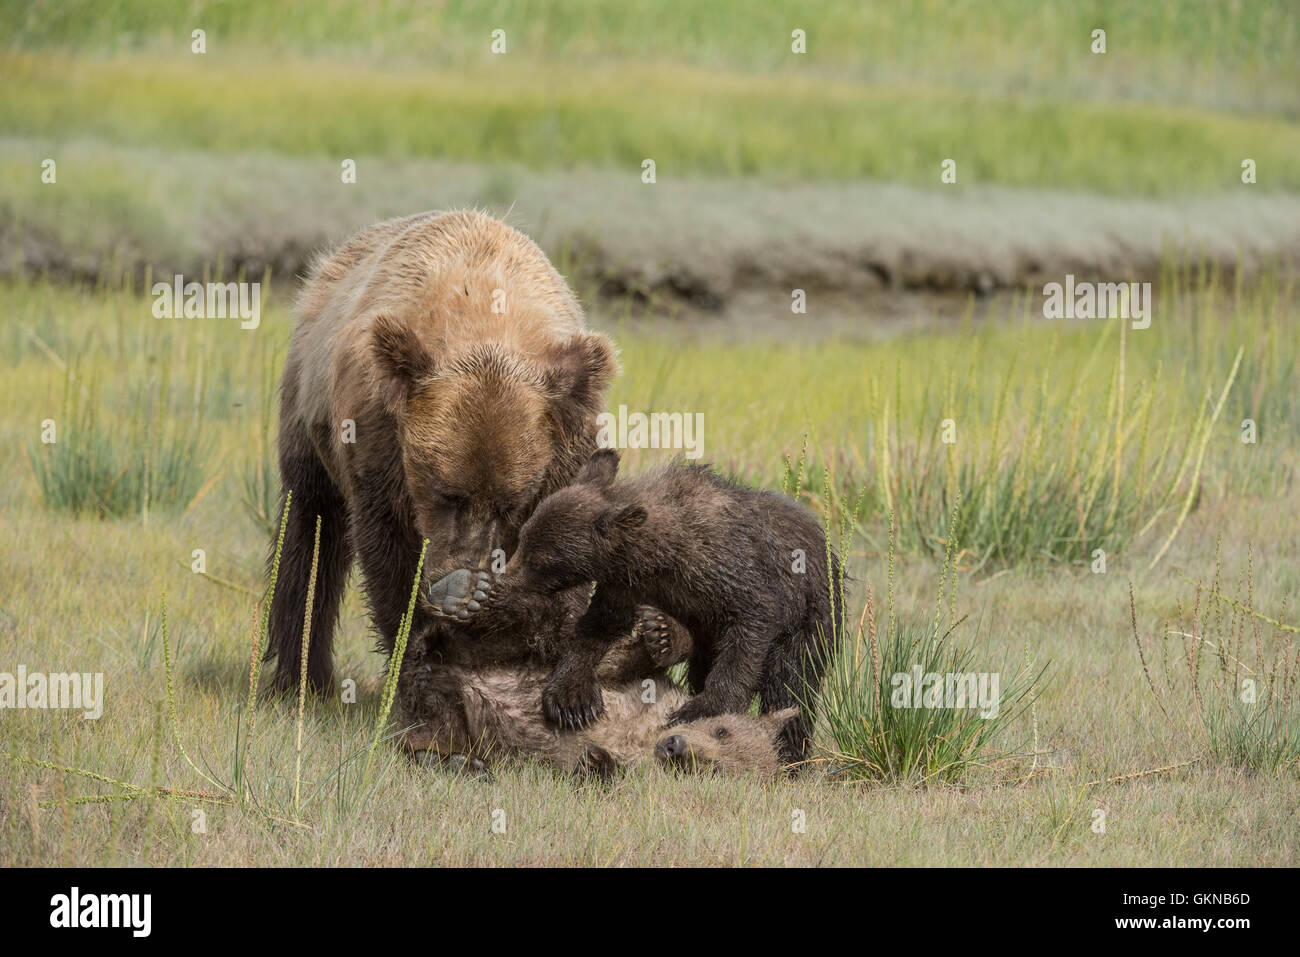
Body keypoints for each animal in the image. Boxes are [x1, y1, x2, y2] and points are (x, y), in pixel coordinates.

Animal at [264, 210, 627, 759]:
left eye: (511, 503)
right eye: (445, 493)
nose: (458, 577)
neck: (485, 314)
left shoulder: (566, 442)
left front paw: (560, 680)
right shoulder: (379, 441)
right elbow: (387, 555)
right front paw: (421, 672)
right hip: (309, 413)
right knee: (310, 526)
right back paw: (299, 678)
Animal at [436, 449, 845, 765]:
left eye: (542, 559)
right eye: (524, 539)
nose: (504, 580)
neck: (660, 555)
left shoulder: (732, 573)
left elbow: (750, 628)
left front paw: (702, 706)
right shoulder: (625, 584)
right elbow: (597, 627)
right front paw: (570, 698)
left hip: (811, 617)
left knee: (792, 683)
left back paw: (792, 756)